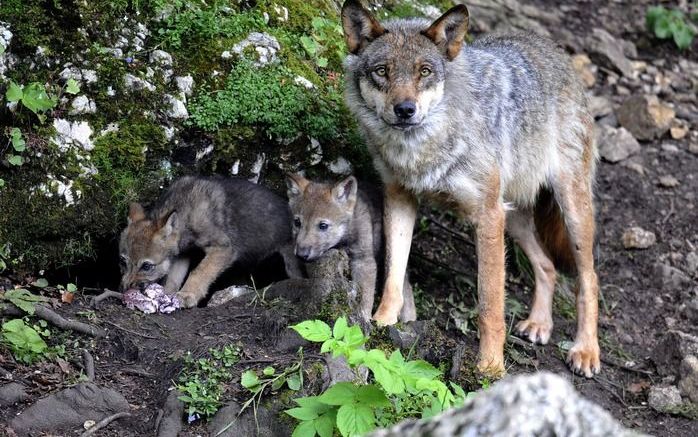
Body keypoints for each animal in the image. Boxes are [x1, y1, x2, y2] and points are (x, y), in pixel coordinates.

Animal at [342, 0, 600, 376]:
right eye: (382, 71)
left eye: (424, 71)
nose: (405, 109)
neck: (422, 149)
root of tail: (554, 49)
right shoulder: (400, 198)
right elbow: (393, 274)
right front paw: (381, 323)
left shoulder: (487, 217)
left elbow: (490, 307)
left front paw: (490, 368)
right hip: (515, 219)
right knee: (547, 266)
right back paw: (540, 324)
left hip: (569, 211)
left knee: (589, 278)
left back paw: (586, 350)